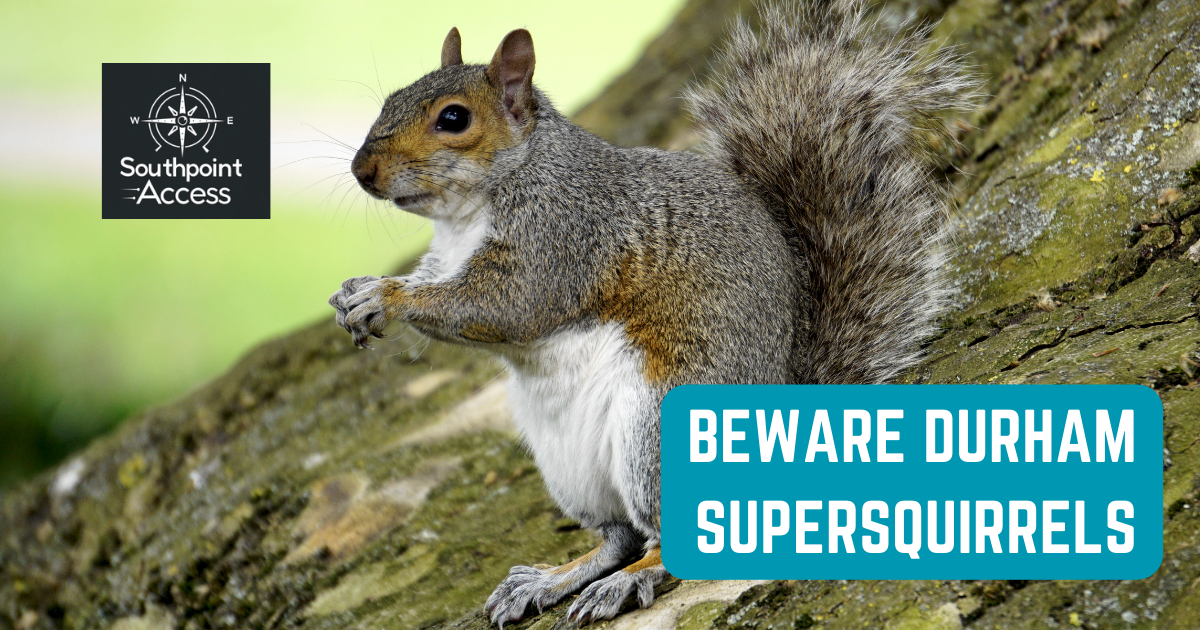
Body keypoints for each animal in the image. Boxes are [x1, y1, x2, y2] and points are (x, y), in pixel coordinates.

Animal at [329, 0, 974, 624]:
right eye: (391, 98)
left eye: (453, 119)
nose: (363, 171)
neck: (472, 209)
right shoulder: (448, 258)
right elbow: (435, 283)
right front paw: (358, 291)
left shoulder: (560, 239)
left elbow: (505, 307)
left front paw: (387, 299)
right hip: (570, 466)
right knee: (619, 537)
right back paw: (553, 579)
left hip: (657, 429)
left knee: (672, 539)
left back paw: (627, 583)